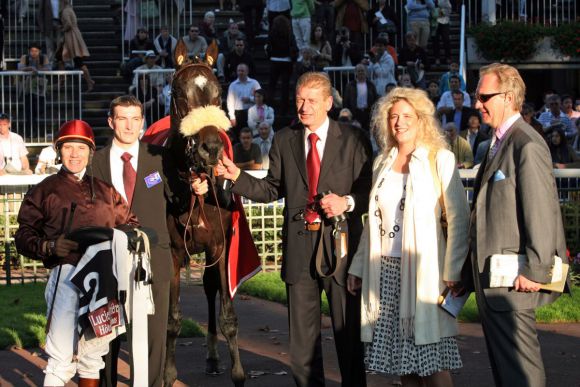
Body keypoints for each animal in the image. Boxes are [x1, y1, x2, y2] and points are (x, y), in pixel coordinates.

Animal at [154, 41, 260, 386]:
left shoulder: (220, 245)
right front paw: (168, 373)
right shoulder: (174, 251)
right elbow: (172, 319)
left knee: (210, 286)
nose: (211, 147)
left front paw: (238, 373)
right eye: (179, 92)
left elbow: (227, 314)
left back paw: (214, 357)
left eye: (217, 92)